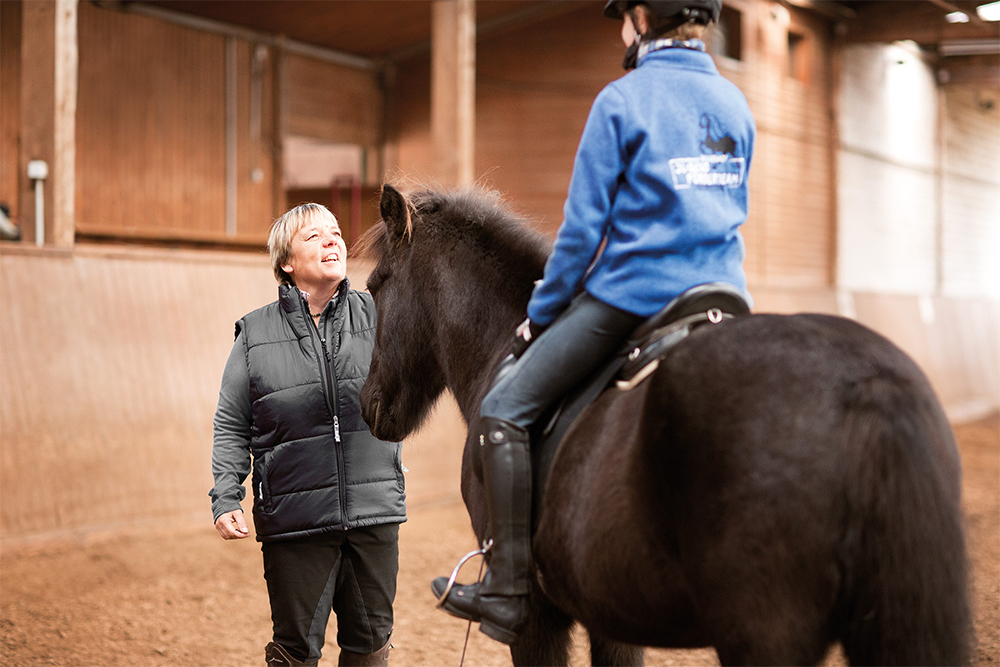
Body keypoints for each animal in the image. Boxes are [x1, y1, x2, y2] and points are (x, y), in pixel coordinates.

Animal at [358, 184, 968, 667]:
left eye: (378, 284)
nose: (367, 405)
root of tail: (866, 387)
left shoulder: (535, 622)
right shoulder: (611, 612)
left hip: (763, 631)